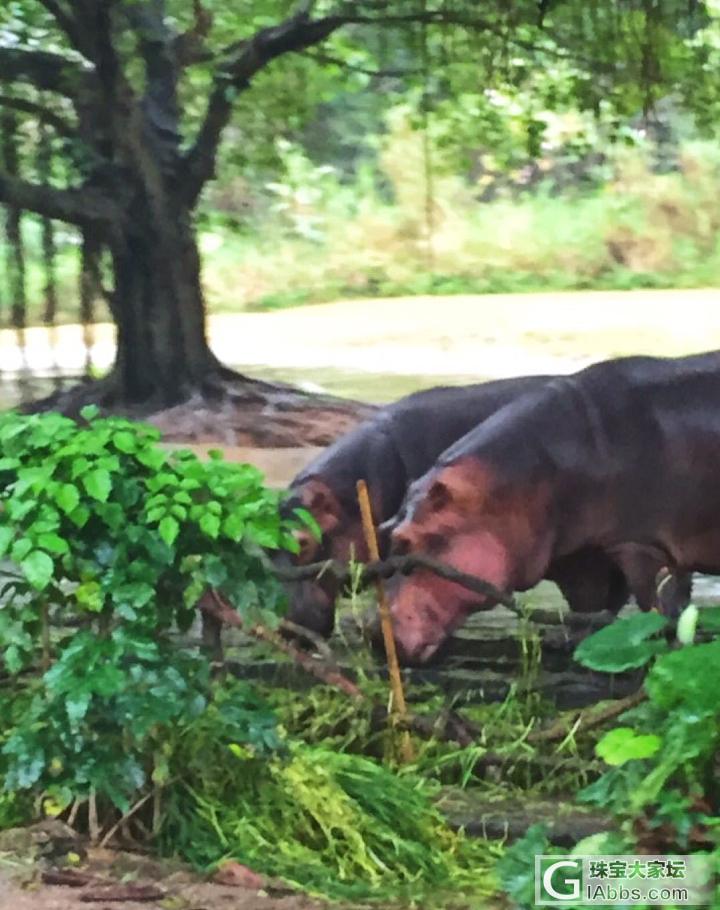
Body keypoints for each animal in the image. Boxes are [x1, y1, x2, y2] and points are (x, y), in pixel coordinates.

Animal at [386, 350, 704, 664]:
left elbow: (636, 602)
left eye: (406, 541)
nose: (377, 633)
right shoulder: (589, 556)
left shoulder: (627, 548)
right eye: (388, 533)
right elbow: (598, 601)